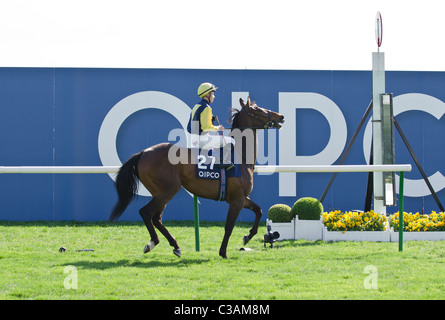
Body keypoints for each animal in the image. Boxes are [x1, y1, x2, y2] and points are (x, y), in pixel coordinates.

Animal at [111, 97, 284, 258]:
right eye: (258, 110)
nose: (281, 116)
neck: (240, 157)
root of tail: (143, 153)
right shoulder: (237, 199)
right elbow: (229, 226)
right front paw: (223, 252)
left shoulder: (241, 198)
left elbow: (259, 210)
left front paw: (247, 236)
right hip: (167, 191)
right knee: (146, 213)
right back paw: (154, 242)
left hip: (160, 193)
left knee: (156, 218)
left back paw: (175, 246)